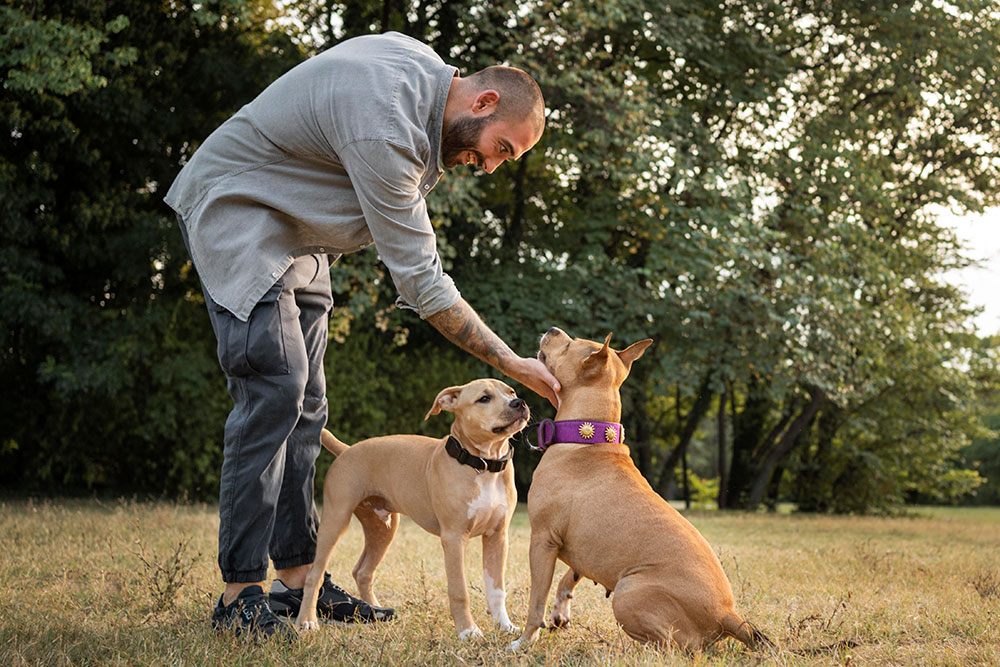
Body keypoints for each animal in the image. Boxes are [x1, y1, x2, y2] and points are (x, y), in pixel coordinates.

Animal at [296, 378, 532, 640]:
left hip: (383, 526)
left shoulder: (497, 536)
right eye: (484, 398)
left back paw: (375, 612)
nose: (519, 402)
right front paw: (468, 631)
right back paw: (307, 621)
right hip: (335, 520)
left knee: (363, 571)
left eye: (511, 391)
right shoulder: (454, 538)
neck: (483, 465)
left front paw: (505, 626)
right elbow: (459, 590)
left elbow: (496, 588)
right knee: (314, 574)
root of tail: (347, 450)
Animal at [512, 328, 768, 652]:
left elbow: (536, 601)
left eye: (570, 345)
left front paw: (524, 641)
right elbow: (568, 578)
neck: (588, 436)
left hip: (628, 592)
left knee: (672, 648)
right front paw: (560, 610)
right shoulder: (582, 549)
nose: (553, 330)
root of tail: (727, 614)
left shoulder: (542, 540)